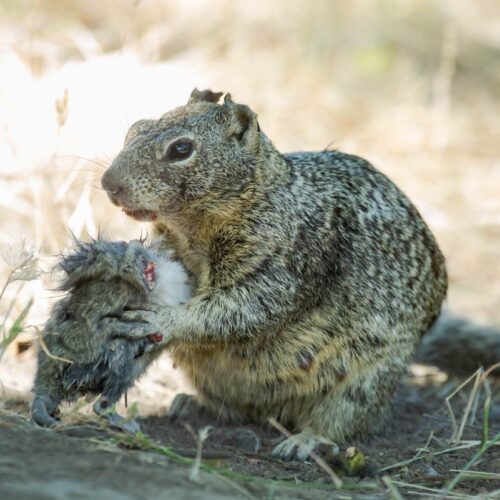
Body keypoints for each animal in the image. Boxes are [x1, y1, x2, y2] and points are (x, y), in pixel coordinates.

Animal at [99, 89, 498, 458]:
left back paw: (306, 441)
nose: (108, 184)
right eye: (134, 129)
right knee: (238, 411)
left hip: (363, 383)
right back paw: (193, 406)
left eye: (181, 149)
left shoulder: (287, 264)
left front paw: (161, 319)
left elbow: (239, 310)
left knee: (346, 421)